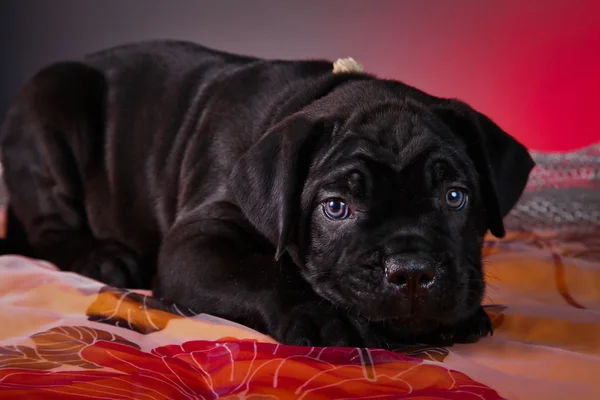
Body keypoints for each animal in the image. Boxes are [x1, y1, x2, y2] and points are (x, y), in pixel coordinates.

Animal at [0, 40, 536, 346]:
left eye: (455, 197)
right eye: (336, 208)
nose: (411, 272)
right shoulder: (195, 244)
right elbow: (260, 271)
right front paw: (320, 316)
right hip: (52, 102)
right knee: (50, 229)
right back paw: (105, 258)